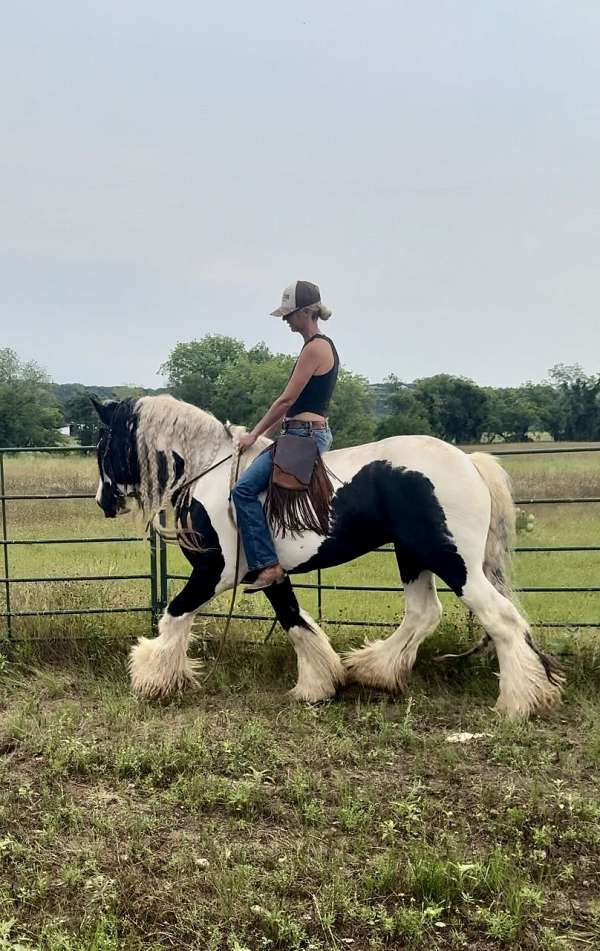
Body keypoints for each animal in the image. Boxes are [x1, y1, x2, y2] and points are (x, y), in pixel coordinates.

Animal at [92, 390, 564, 716]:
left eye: (103, 444)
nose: (103, 501)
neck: (212, 472)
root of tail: (469, 462)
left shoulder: (214, 571)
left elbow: (175, 614)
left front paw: (151, 677)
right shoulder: (269, 574)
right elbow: (295, 620)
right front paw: (319, 685)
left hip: (453, 560)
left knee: (502, 620)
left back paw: (520, 701)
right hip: (413, 555)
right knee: (424, 613)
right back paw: (376, 671)